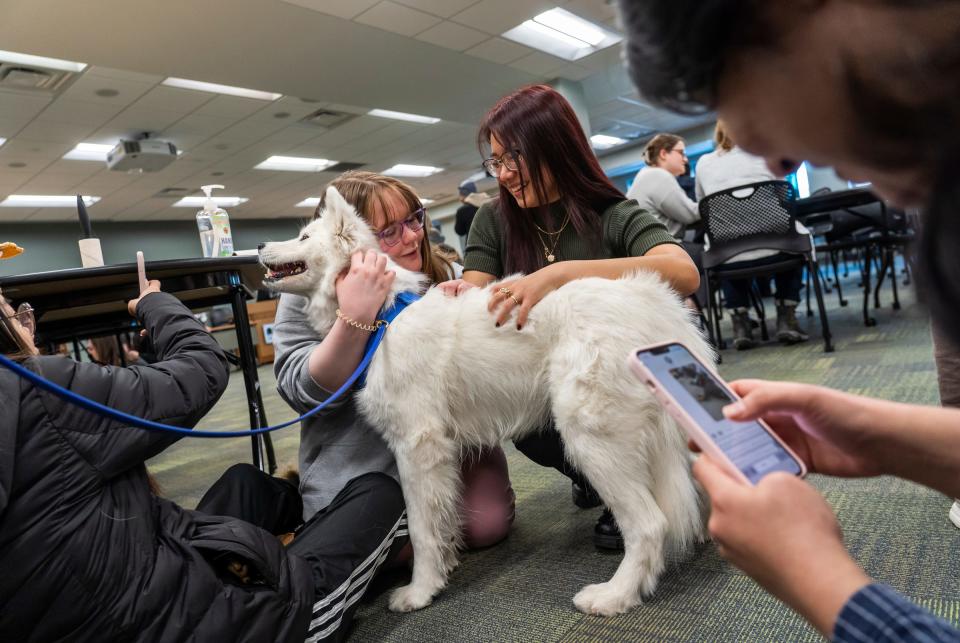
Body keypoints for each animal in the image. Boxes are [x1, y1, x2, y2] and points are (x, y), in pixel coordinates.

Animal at [260, 187, 712, 620]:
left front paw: (420, 592)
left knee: (650, 525)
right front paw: (443, 570)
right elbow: (442, 521)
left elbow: (422, 528)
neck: (384, 314)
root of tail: (650, 306)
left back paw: (614, 596)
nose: (259, 246)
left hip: (591, 439)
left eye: (304, 237)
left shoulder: (417, 448)